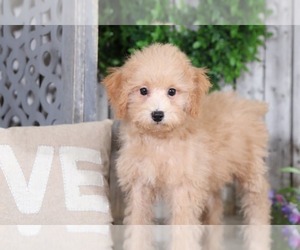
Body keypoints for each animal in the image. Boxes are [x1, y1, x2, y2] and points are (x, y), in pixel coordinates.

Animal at [103, 44, 272, 249]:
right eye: (143, 91)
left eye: (172, 91)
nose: (157, 114)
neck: (159, 141)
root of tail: (249, 105)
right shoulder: (140, 186)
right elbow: (138, 225)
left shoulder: (183, 187)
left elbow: (182, 228)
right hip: (210, 179)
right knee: (215, 211)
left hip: (250, 170)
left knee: (258, 204)